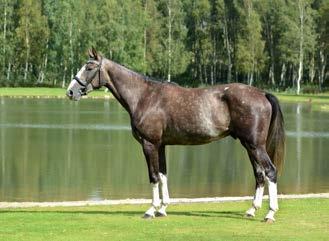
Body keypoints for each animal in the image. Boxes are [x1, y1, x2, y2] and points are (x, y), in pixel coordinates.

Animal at [65, 48, 284, 223]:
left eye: (89, 67)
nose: (70, 92)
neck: (145, 96)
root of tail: (263, 94)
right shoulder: (161, 145)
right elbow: (163, 175)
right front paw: (162, 209)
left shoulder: (149, 144)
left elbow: (153, 176)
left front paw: (151, 210)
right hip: (249, 146)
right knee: (259, 175)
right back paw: (251, 210)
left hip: (255, 146)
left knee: (270, 172)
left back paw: (270, 214)